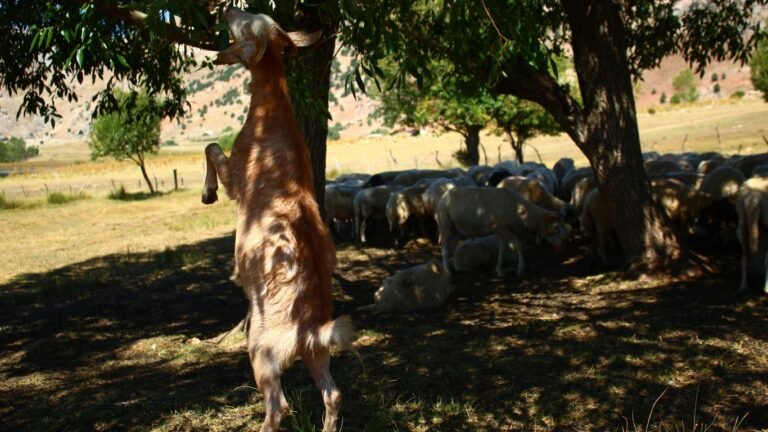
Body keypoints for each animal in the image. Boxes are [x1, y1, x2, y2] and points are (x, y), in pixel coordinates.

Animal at [200, 9, 355, 432]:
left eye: (246, 22)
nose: (227, 9)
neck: (272, 110)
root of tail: (311, 330)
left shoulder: (237, 173)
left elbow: (211, 148)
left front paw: (207, 192)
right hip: (316, 354)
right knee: (334, 394)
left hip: (262, 350)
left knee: (279, 405)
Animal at [436, 187, 571, 277]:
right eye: (556, 228)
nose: (563, 248)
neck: (520, 210)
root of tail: (443, 197)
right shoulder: (501, 228)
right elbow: (518, 246)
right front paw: (520, 270)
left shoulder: (502, 232)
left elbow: (502, 250)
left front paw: (499, 271)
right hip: (445, 224)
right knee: (444, 246)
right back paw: (447, 269)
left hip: (457, 230)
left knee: (451, 245)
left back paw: (451, 266)